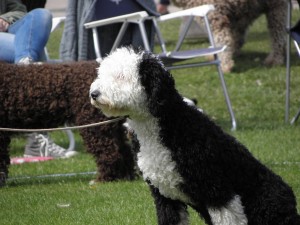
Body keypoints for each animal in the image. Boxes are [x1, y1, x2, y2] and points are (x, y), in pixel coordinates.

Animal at [89, 46, 300, 224]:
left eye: (121, 76)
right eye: (102, 74)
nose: (94, 93)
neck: (169, 127)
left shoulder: (218, 192)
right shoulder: (164, 197)